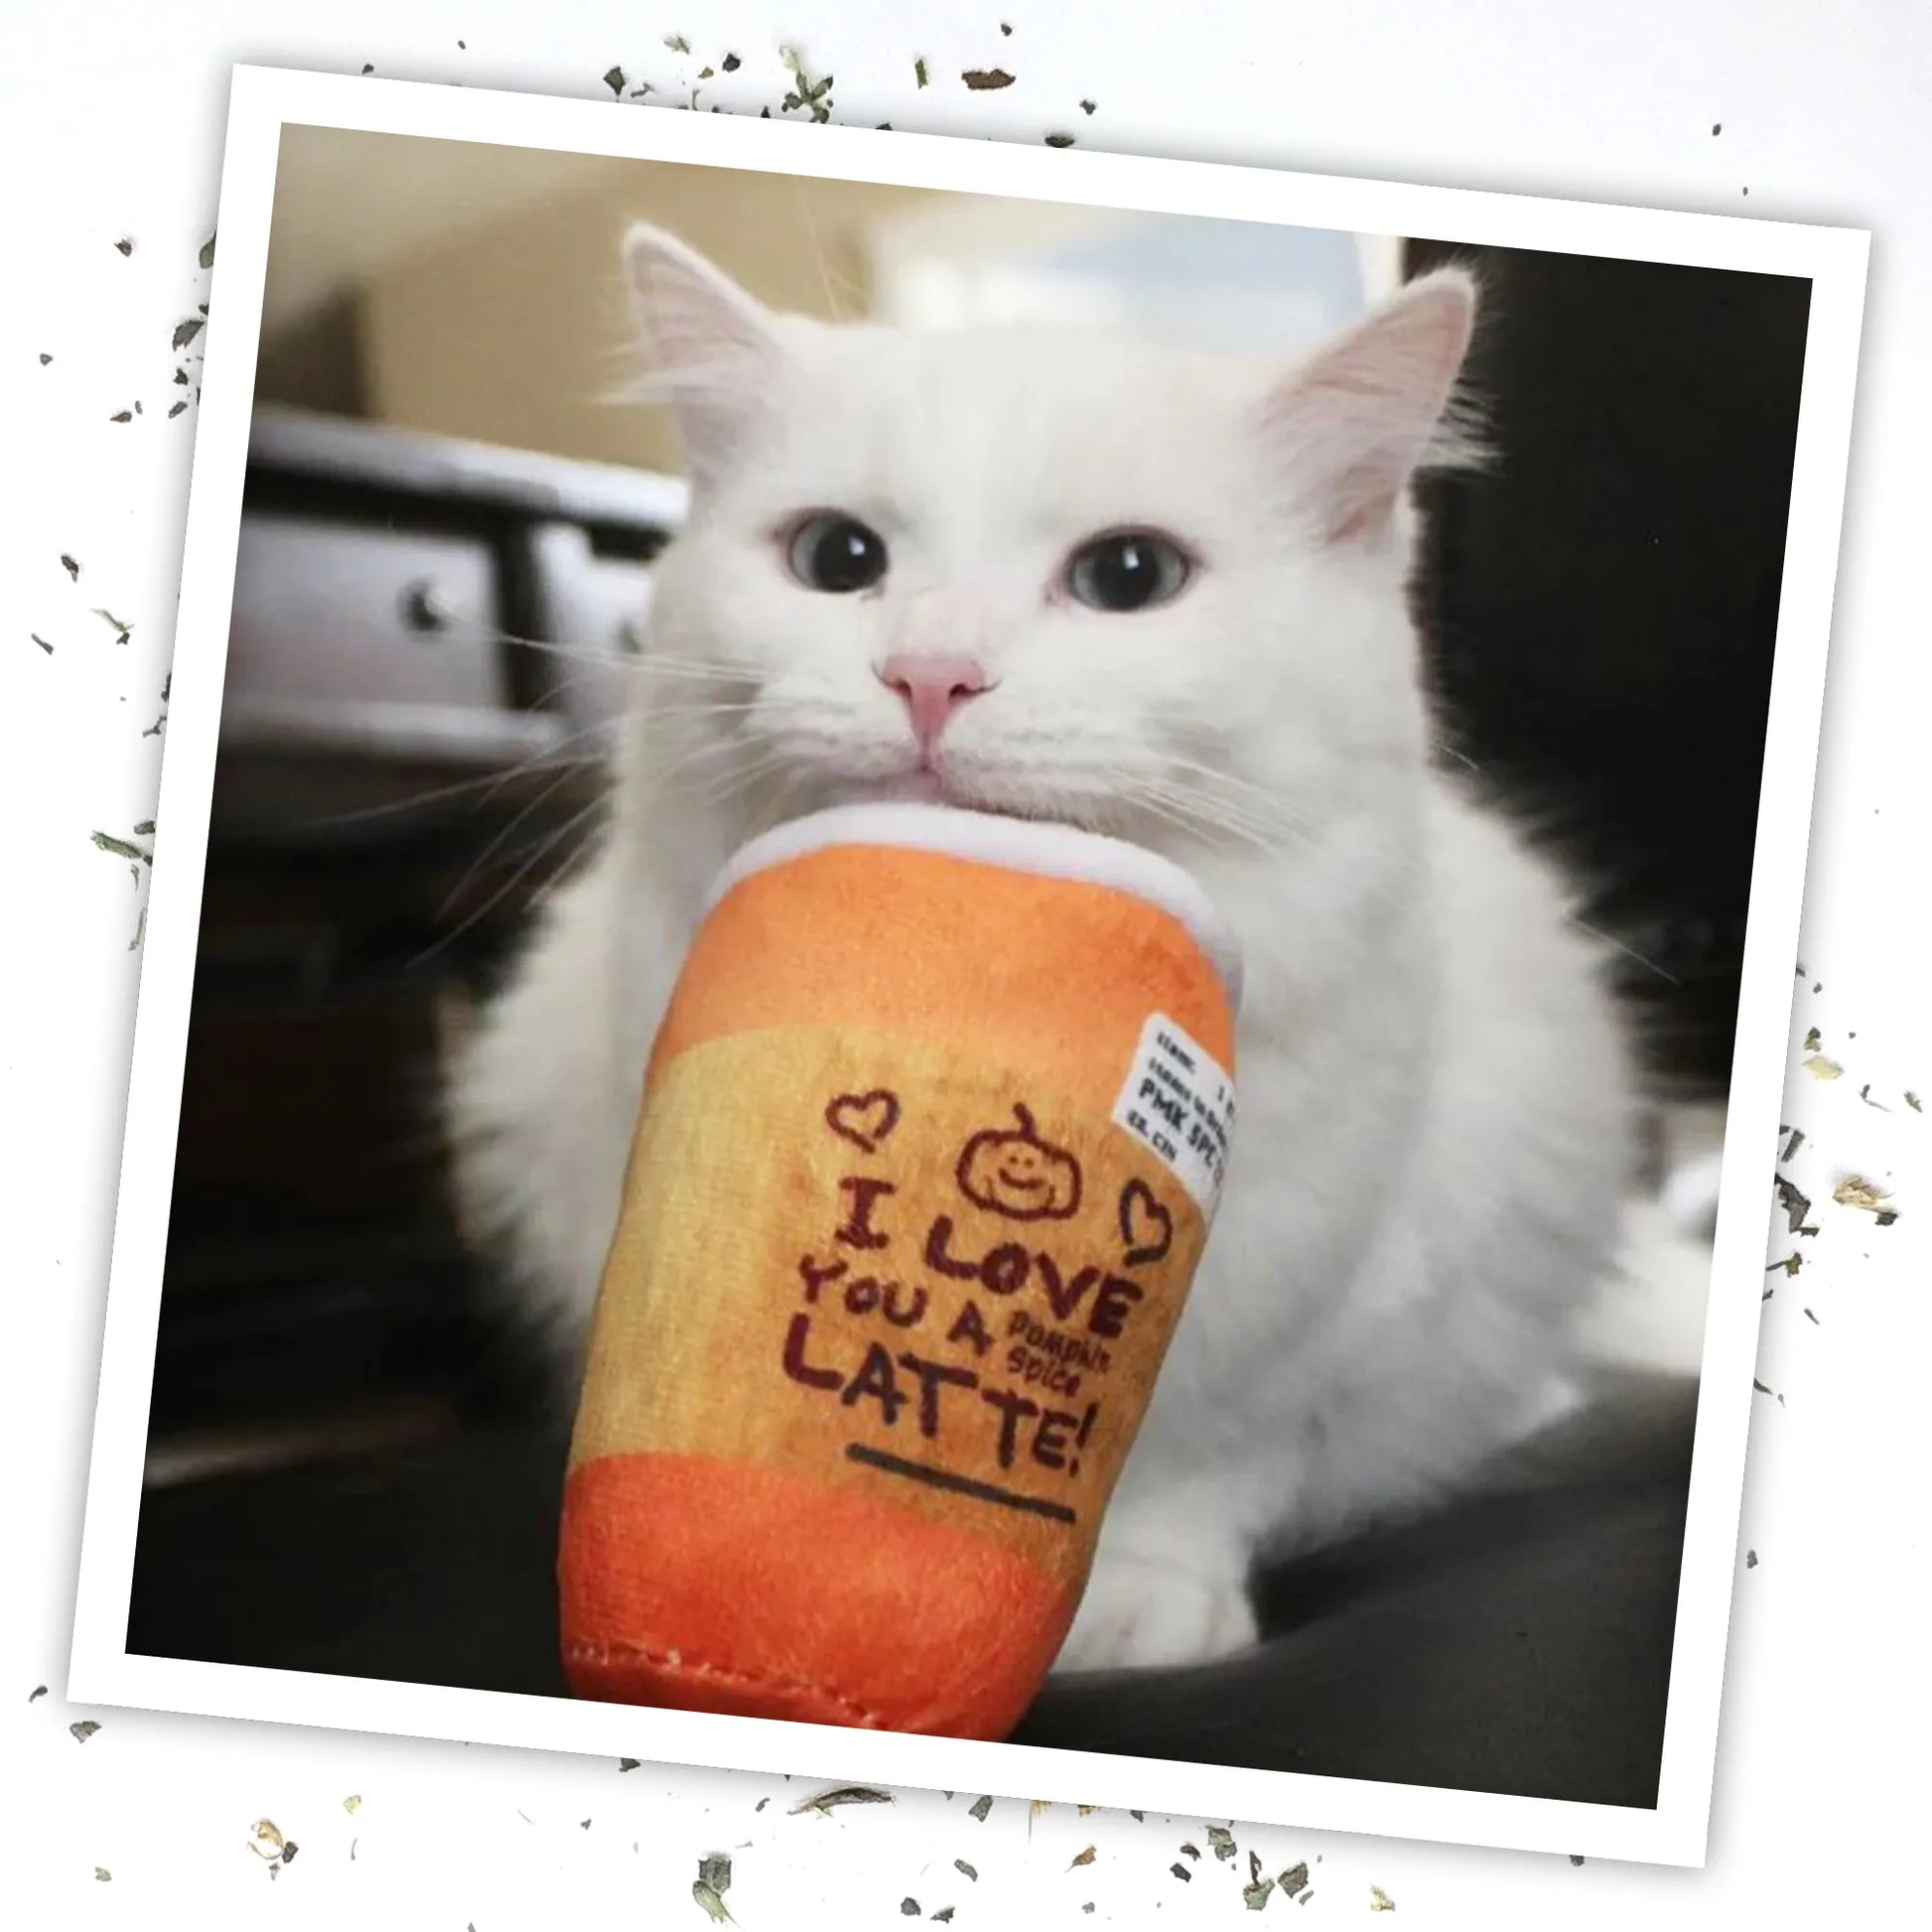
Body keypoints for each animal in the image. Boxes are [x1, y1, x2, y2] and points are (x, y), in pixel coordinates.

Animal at [444, 221, 1638, 1677]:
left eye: (1129, 577)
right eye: (836, 557)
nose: (930, 673)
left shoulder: (1306, 1289)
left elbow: (1205, 1450)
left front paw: (1141, 1598)